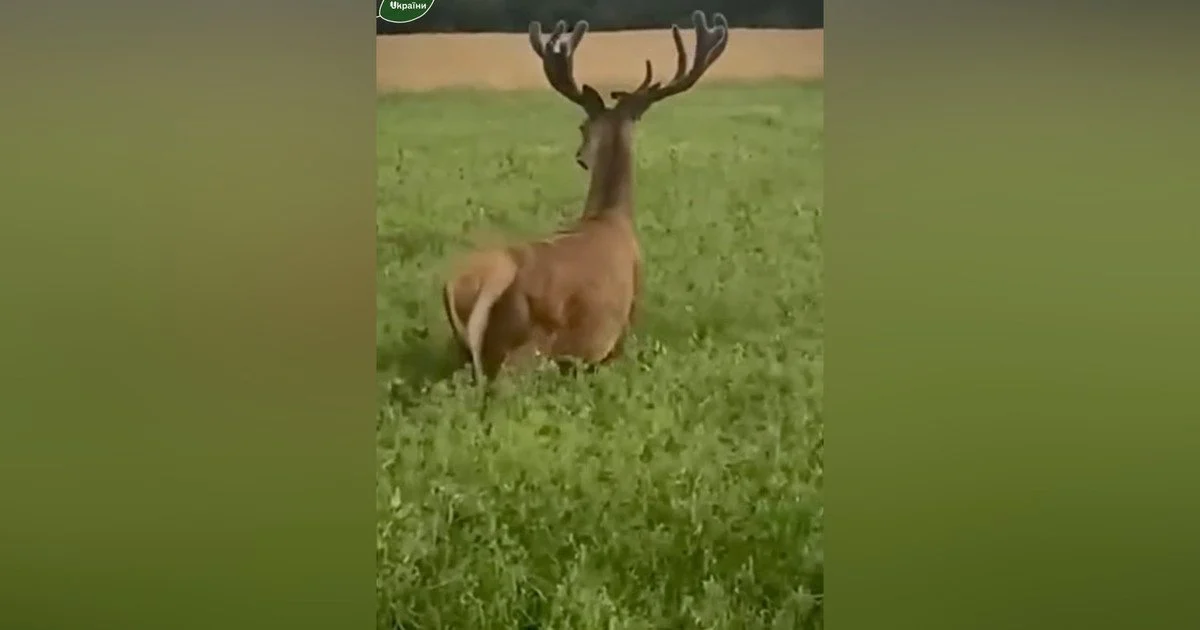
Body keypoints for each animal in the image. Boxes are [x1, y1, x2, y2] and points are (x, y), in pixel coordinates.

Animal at [442, 10, 730, 386]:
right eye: (583, 127)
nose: (580, 155)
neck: (610, 217)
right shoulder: (625, 325)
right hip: (525, 352)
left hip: (466, 350)